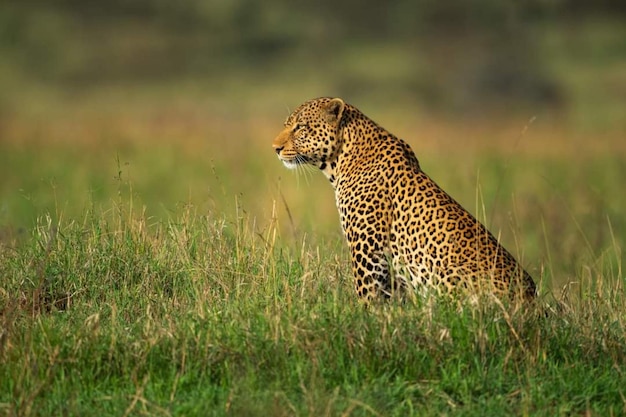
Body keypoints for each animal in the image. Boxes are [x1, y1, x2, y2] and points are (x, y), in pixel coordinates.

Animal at [270, 97, 532, 302]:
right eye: (286, 126)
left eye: (300, 128)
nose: (275, 148)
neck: (341, 161)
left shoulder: (368, 252)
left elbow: (367, 298)